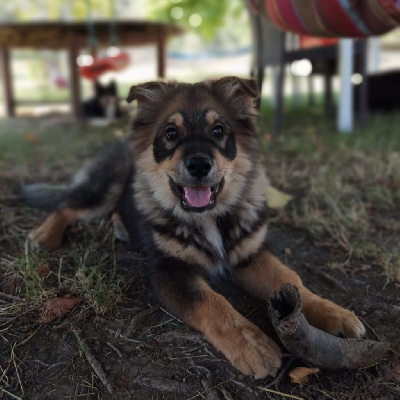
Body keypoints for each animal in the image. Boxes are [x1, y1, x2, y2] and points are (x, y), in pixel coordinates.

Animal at [19, 77, 366, 378]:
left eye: (218, 130)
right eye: (171, 133)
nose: (199, 165)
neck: (209, 218)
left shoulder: (249, 255)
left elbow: (289, 278)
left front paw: (334, 313)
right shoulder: (171, 272)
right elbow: (213, 303)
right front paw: (252, 345)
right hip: (107, 186)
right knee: (68, 205)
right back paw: (45, 234)